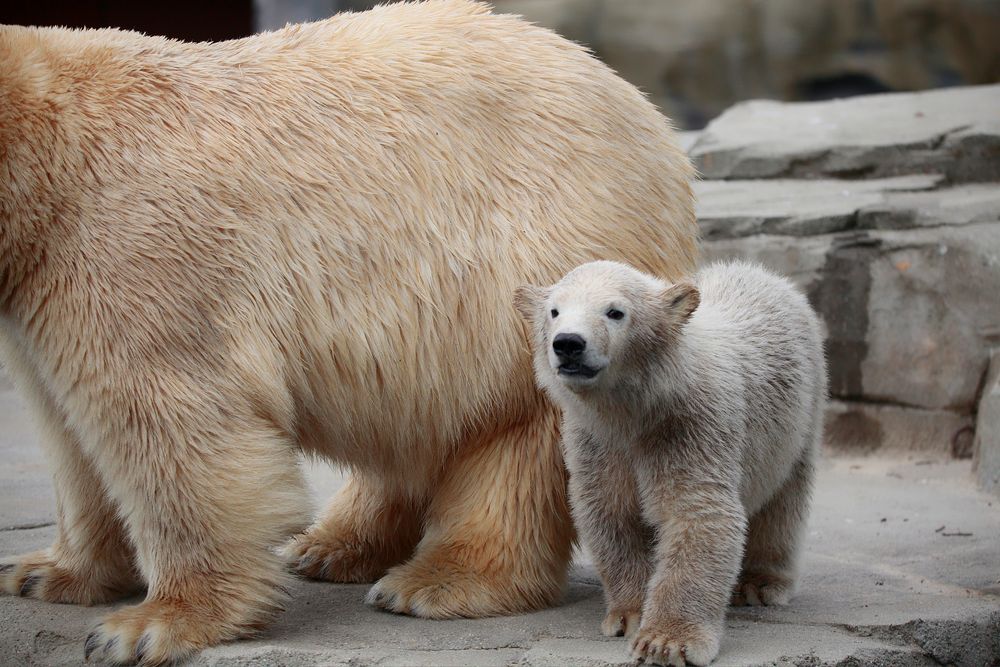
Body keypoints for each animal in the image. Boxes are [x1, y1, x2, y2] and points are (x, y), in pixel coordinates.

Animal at [0, 0, 696, 664]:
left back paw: (437, 581)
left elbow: (171, 420)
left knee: (516, 430)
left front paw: (149, 625)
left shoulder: (136, 244)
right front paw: (47, 572)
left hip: (545, 259)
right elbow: (68, 431)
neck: (51, 156)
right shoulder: (48, 275)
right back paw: (331, 548)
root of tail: (652, 123)